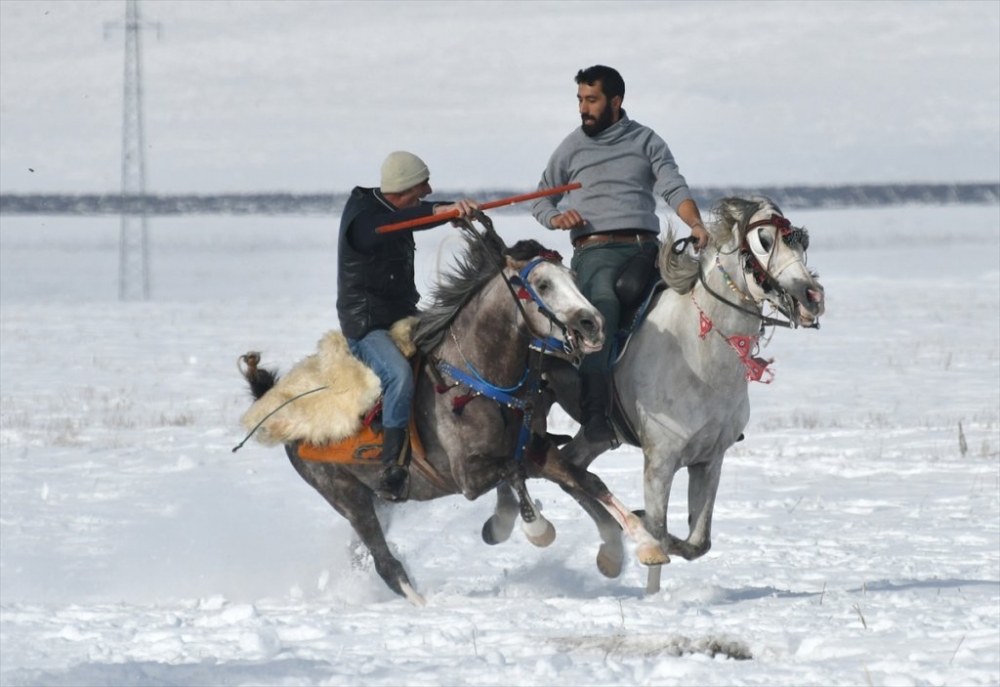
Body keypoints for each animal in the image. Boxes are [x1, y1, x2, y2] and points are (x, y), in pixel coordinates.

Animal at [238, 218, 668, 604]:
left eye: (574, 278)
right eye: (543, 284)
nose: (592, 324)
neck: (475, 379)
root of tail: (274, 403)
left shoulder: (536, 450)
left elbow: (586, 479)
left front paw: (645, 543)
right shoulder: (468, 476)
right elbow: (514, 473)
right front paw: (534, 529)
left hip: (377, 496)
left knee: (363, 555)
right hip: (346, 495)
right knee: (384, 562)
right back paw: (422, 604)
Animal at [552, 196, 824, 592]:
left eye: (801, 241)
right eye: (764, 240)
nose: (812, 297)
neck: (697, 355)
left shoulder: (709, 460)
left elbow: (698, 542)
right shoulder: (660, 462)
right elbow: (659, 532)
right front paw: (651, 585)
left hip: (598, 435)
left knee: (569, 466)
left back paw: (610, 556)